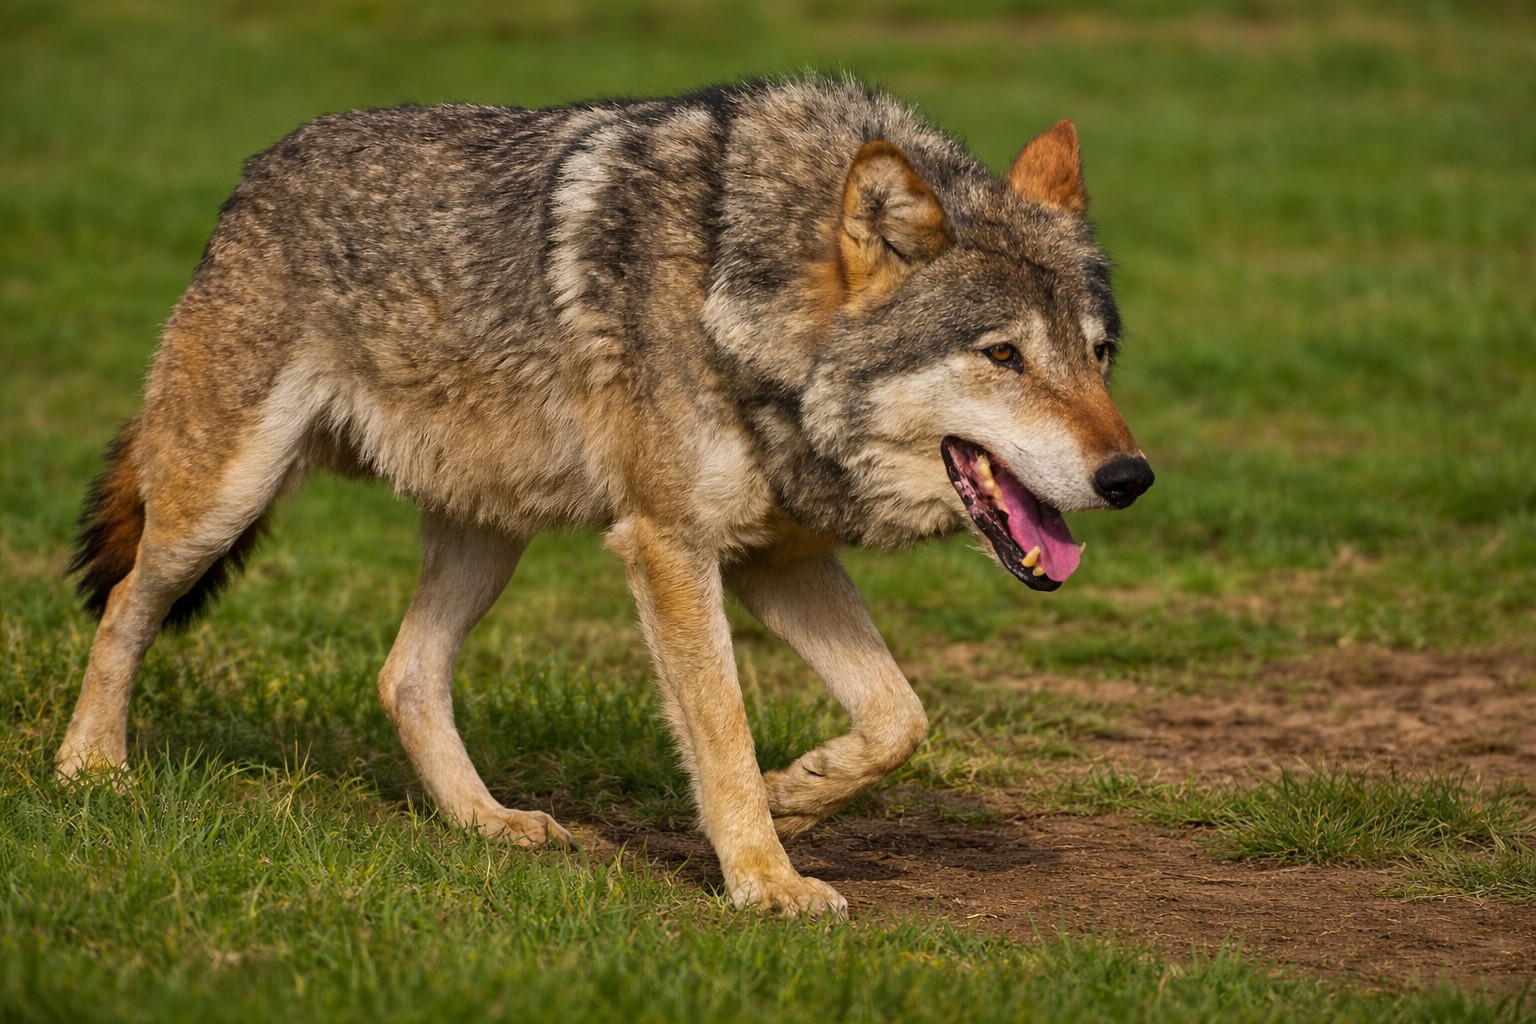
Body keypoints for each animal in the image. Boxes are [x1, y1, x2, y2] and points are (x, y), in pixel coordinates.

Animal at [57, 77, 1152, 916]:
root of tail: (257, 170)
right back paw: (89, 768)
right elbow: (721, 731)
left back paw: (488, 824)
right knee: (125, 606)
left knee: (404, 674)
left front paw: (796, 796)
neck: (746, 304)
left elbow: (899, 718)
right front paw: (765, 883)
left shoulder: (780, 558)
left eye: (1099, 356)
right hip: (222, 501)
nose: (1130, 478)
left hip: (490, 538)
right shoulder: (668, 545)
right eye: (1004, 356)